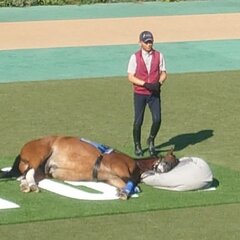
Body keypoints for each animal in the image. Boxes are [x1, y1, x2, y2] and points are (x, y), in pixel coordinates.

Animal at [0, 136, 178, 200]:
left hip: (42, 169)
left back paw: (27, 184)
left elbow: (129, 185)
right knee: (29, 171)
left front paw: (122, 191)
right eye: (169, 161)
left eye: (174, 164)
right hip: (41, 153)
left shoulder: (113, 178)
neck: (137, 164)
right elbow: (134, 185)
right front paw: (125, 192)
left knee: (25, 175)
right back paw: (30, 185)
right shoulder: (120, 169)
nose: (163, 170)